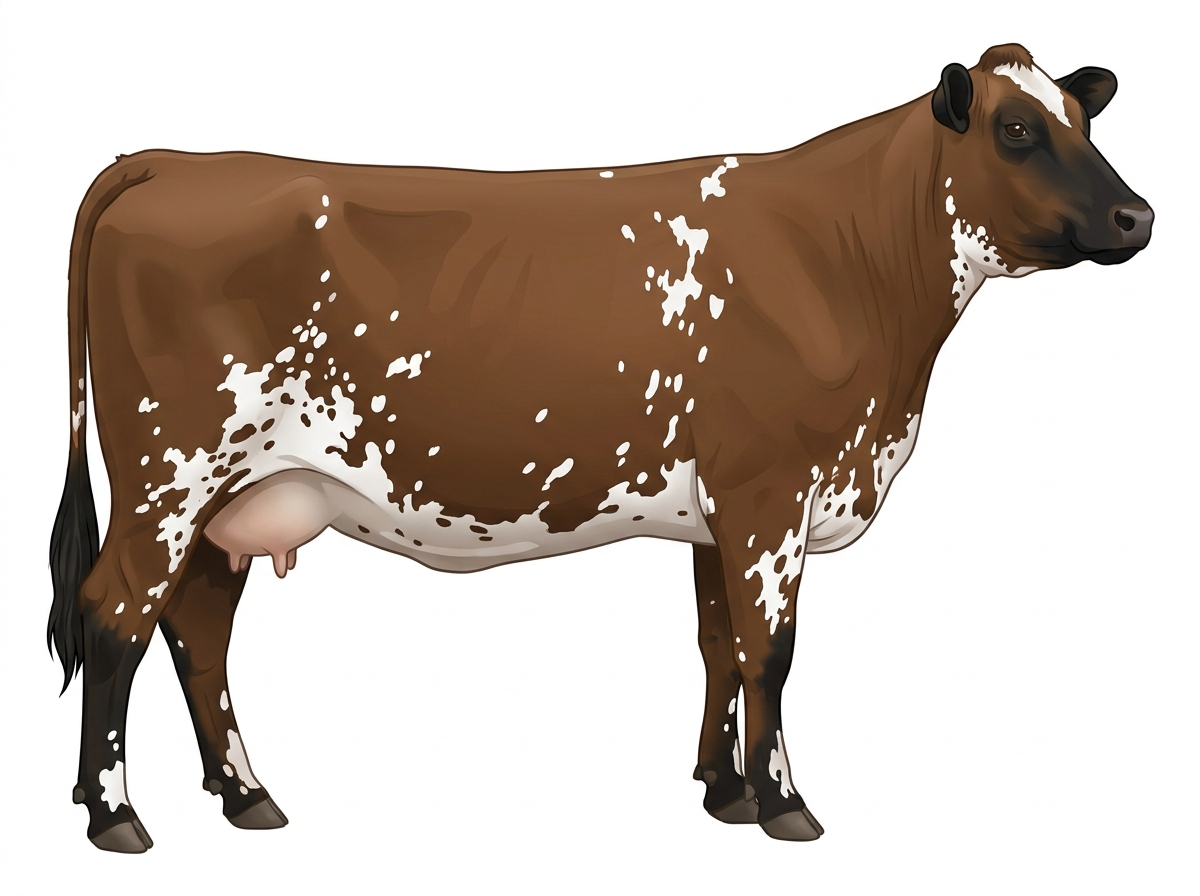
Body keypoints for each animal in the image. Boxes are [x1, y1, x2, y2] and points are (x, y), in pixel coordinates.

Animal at [48, 43, 1152, 852]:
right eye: (1018, 130)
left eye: (1085, 118)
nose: (1138, 215)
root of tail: (174, 159)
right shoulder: (771, 489)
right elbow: (774, 650)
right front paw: (785, 804)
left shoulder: (723, 507)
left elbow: (721, 645)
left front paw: (724, 790)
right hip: (169, 471)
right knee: (115, 614)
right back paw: (114, 814)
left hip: (234, 492)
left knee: (196, 628)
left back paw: (245, 794)